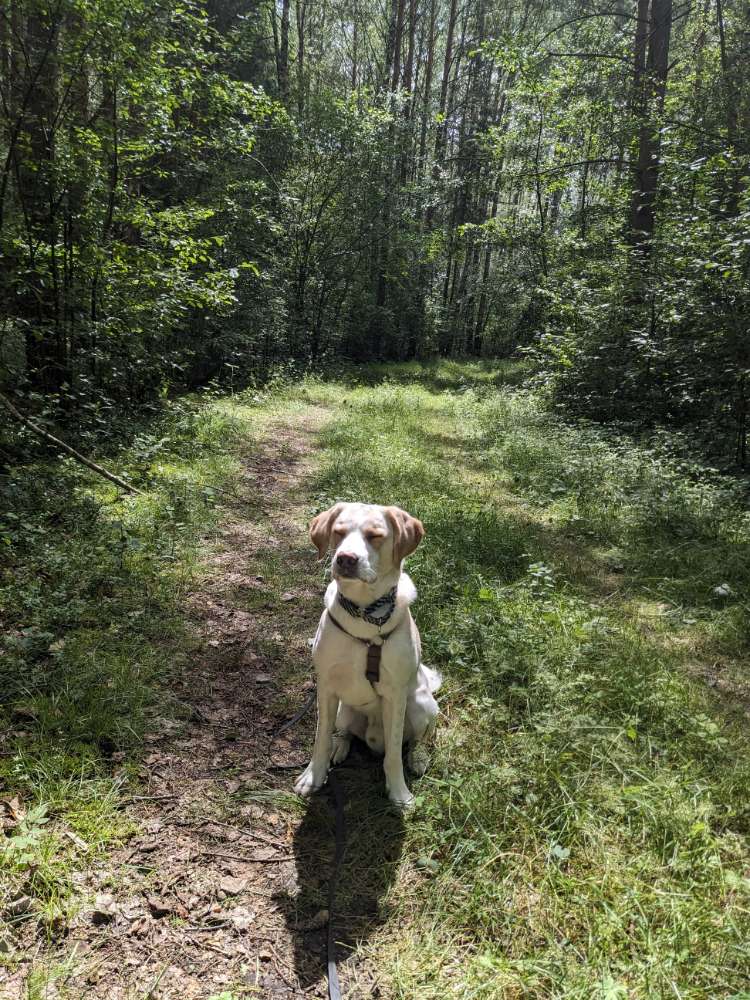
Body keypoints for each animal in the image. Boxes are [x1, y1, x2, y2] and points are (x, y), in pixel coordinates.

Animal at [296, 504, 444, 808]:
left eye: (375, 535)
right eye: (338, 532)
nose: (345, 559)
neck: (365, 615)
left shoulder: (396, 695)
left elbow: (394, 755)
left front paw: (398, 792)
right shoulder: (327, 687)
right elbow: (320, 738)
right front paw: (313, 777)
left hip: (422, 704)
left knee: (418, 738)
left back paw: (418, 757)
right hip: (344, 710)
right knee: (343, 732)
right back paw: (340, 746)